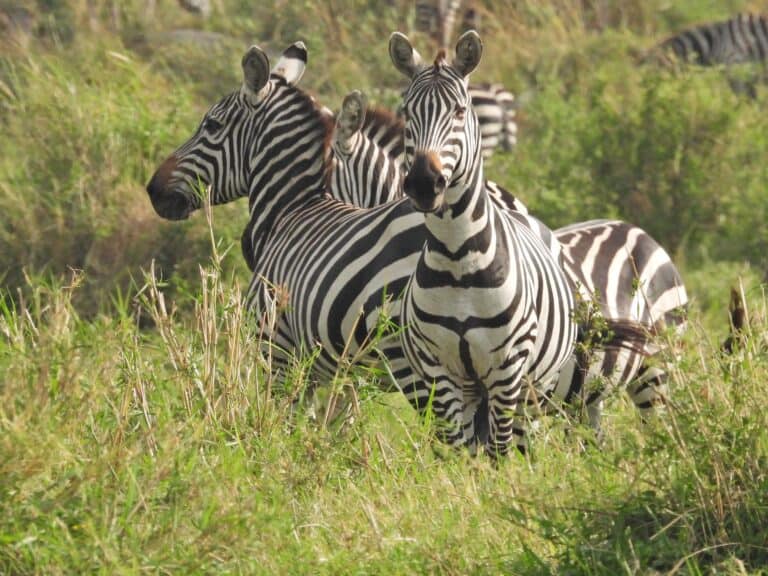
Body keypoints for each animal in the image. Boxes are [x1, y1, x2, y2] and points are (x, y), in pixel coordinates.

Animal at [390, 30, 578, 456]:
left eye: (460, 111)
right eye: (407, 113)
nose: (424, 183)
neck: (457, 256)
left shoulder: (506, 369)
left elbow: (500, 450)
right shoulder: (441, 370)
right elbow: (462, 453)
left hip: (533, 384)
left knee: (521, 438)